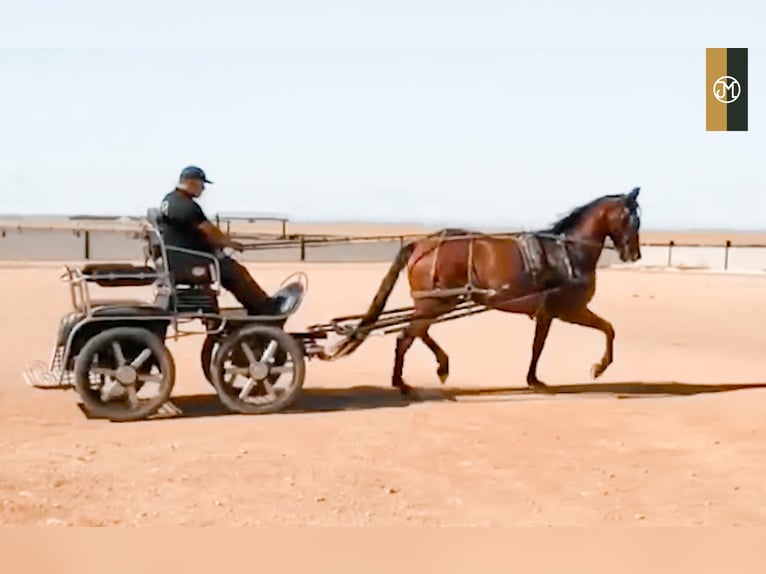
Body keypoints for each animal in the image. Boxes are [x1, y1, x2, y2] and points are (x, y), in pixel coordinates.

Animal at [336, 189, 640, 396]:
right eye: (631, 219)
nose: (634, 255)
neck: (566, 253)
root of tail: (421, 245)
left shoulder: (548, 313)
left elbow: (539, 345)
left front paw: (533, 379)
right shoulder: (570, 310)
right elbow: (607, 330)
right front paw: (598, 368)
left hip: (437, 302)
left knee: (417, 332)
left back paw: (439, 367)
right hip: (437, 302)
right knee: (405, 337)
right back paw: (404, 381)